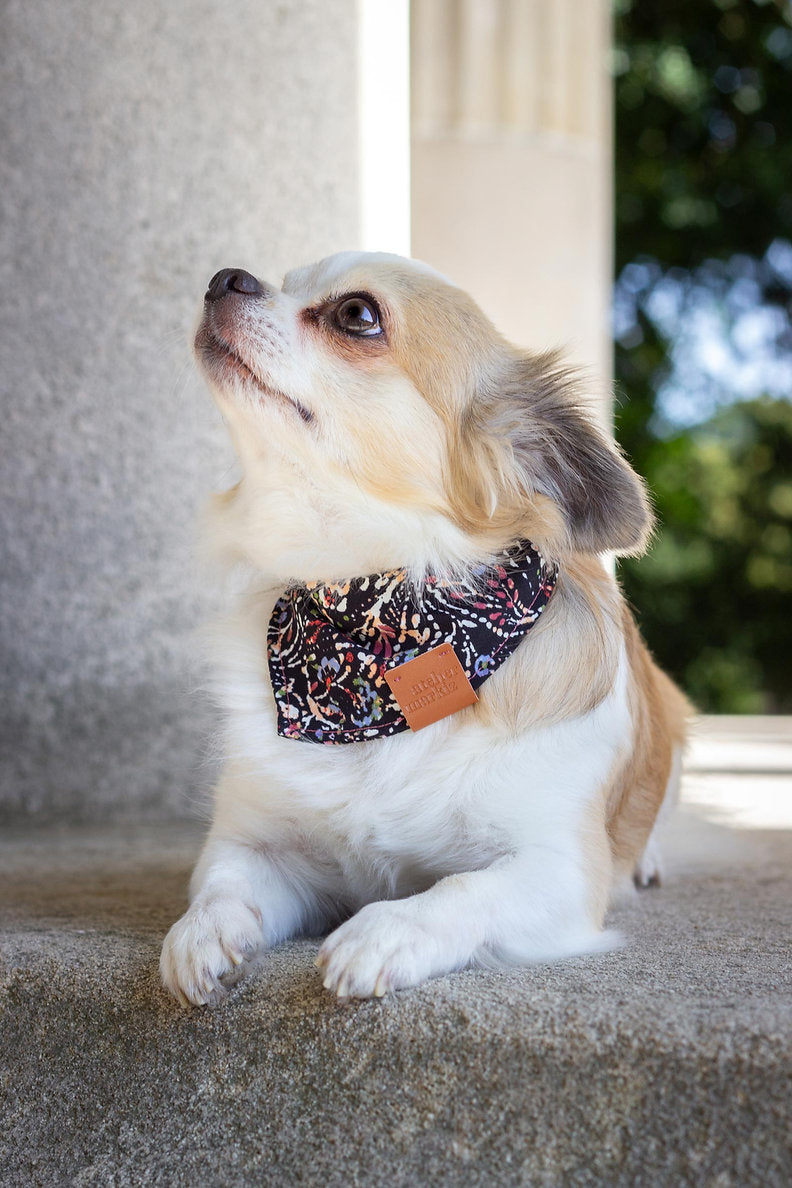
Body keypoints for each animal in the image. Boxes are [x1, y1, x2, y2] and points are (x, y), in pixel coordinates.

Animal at [159, 248, 688, 1002]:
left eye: (357, 314)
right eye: (284, 281)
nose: (225, 278)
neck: (371, 631)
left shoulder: (558, 870)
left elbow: (461, 891)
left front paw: (387, 931)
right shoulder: (259, 848)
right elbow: (223, 889)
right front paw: (199, 934)